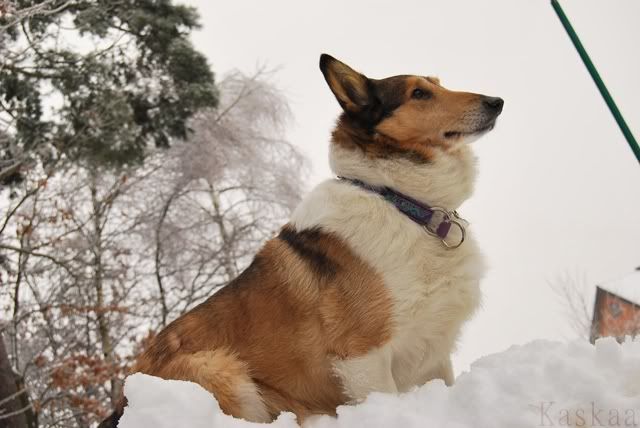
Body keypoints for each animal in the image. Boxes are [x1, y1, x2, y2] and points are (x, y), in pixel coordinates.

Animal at [99, 54, 503, 426]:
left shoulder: (434, 353)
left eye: (438, 83)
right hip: (224, 371)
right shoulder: (363, 357)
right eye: (418, 93)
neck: (398, 201)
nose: (496, 101)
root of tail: (122, 405)